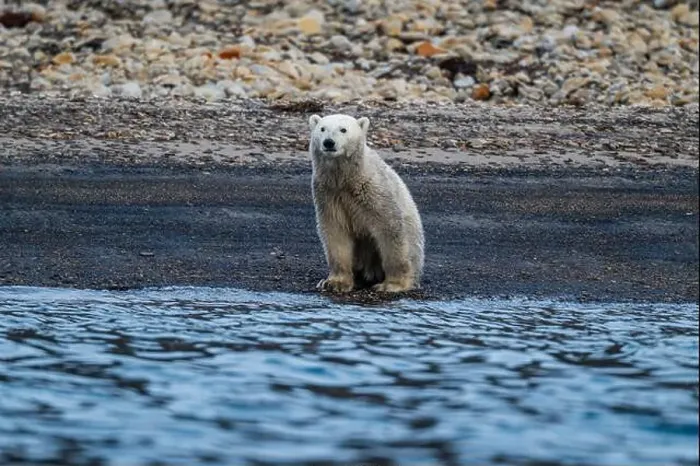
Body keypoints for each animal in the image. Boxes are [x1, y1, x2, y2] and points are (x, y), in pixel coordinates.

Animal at [308, 113, 425, 293]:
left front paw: (392, 284)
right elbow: (335, 232)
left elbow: (390, 229)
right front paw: (334, 282)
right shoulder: (329, 194)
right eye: (322, 128)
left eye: (343, 129)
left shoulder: (374, 191)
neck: (347, 178)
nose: (328, 142)